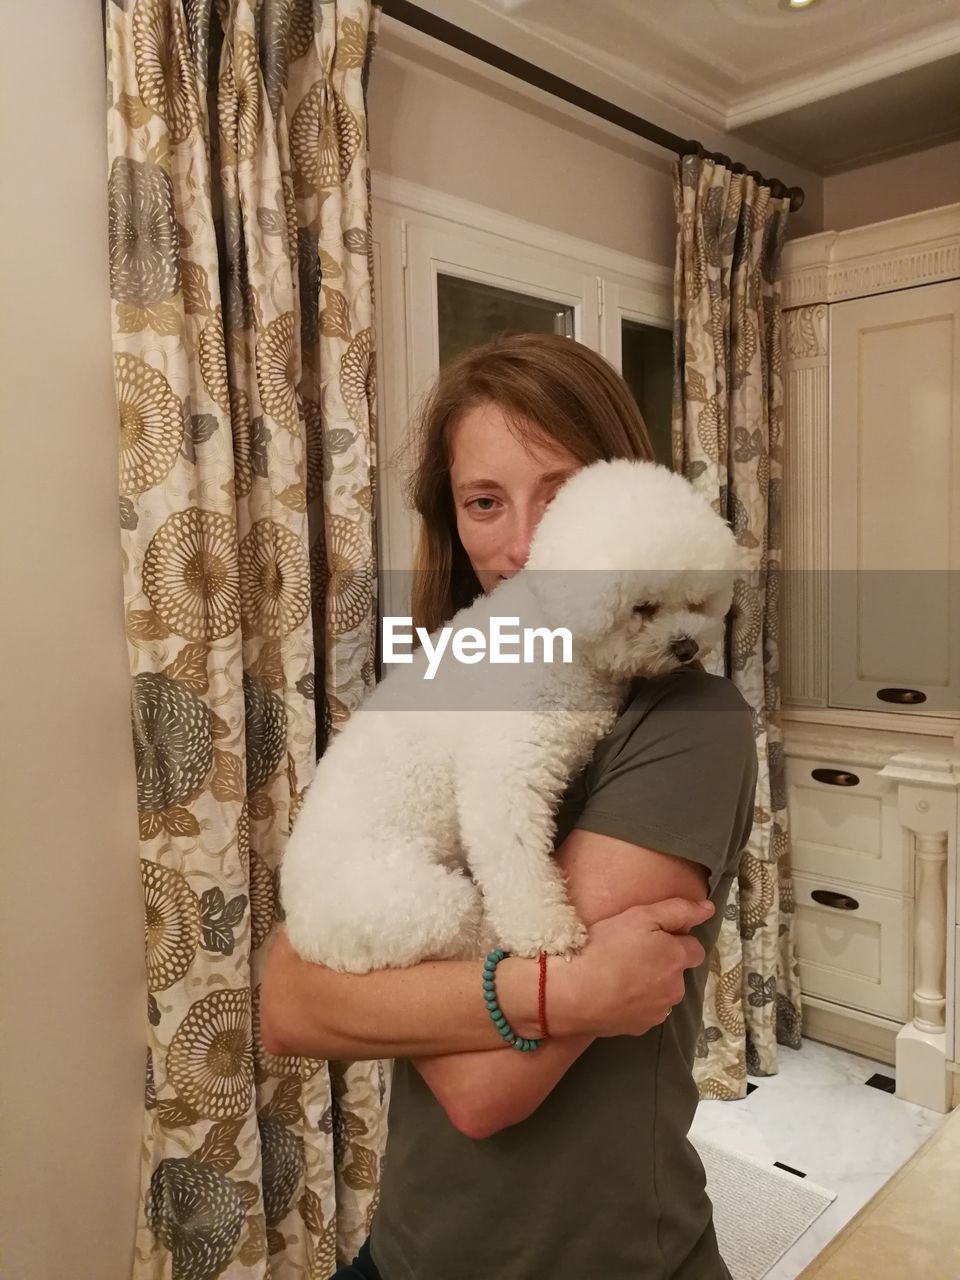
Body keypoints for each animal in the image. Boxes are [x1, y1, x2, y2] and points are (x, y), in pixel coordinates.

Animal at [281, 460, 742, 967]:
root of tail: (306, 933)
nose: (687, 647)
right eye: (644, 608)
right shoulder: (507, 761)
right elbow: (515, 852)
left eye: (696, 603)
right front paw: (547, 929)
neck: (558, 629)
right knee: (467, 930)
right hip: (416, 901)